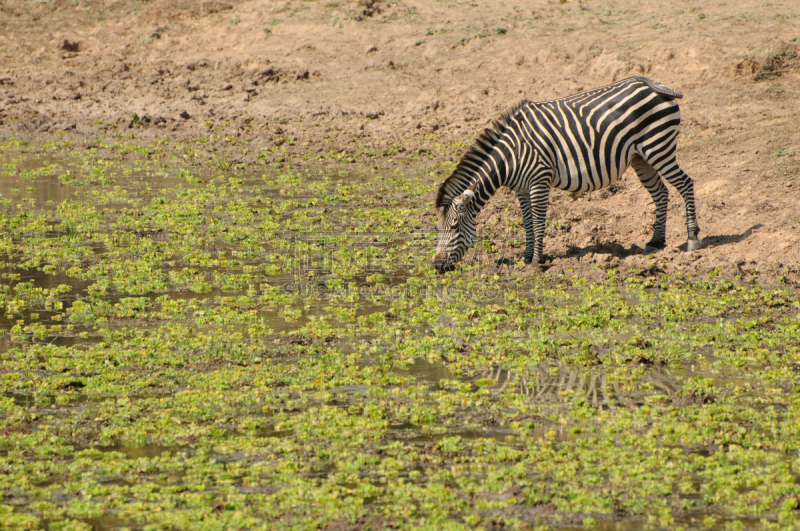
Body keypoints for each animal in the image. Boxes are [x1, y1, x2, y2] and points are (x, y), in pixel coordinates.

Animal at [438, 77, 700, 274]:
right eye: (437, 228)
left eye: (454, 227)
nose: (437, 265)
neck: (511, 156)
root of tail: (655, 84)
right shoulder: (521, 189)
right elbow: (527, 222)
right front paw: (526, 257)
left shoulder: (539, 180)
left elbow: (538, 221)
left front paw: (537, 261)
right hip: (641, 158)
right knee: (661, 193)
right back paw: (656, 241)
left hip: (659, 148)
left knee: (686, 184)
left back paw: (692, 239)